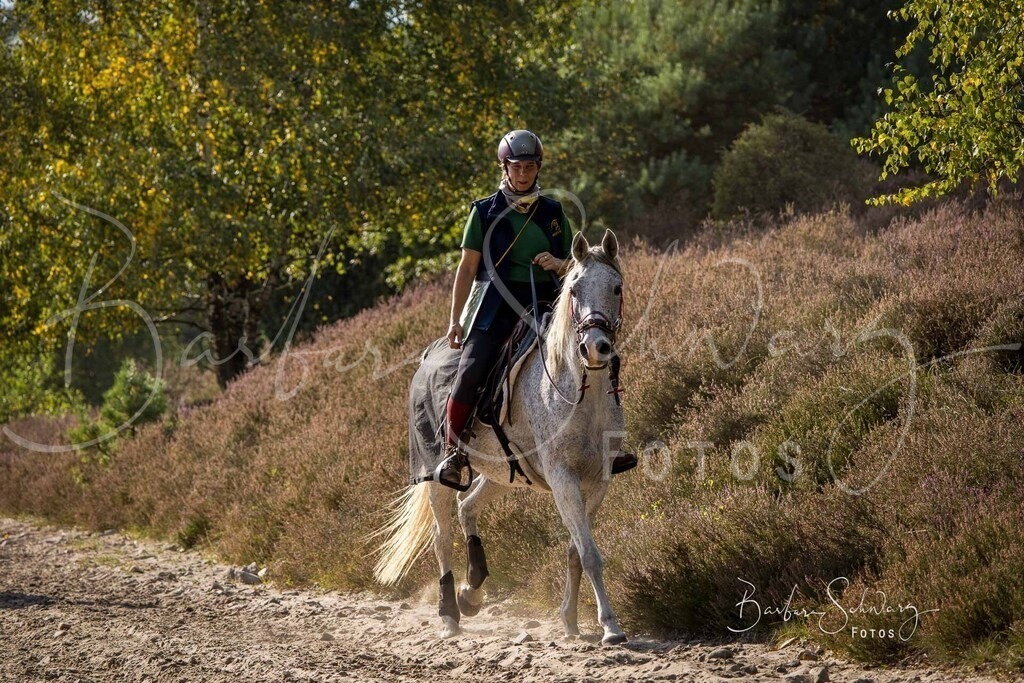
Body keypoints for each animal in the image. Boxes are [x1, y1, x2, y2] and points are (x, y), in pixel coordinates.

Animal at [374, 229, 628, 646]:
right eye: (574, 290)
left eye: (616, 288)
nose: (595, 348)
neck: (577, 391)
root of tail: (428, 356)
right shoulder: (563, 478)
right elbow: (589, 553)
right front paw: (609, 626)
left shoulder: (598, 479)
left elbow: (577, 549)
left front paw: (570, 619)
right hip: (434, 475)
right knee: (442, 536)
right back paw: (449, 612)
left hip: (500, 473)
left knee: (468, 508)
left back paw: (472, 591)